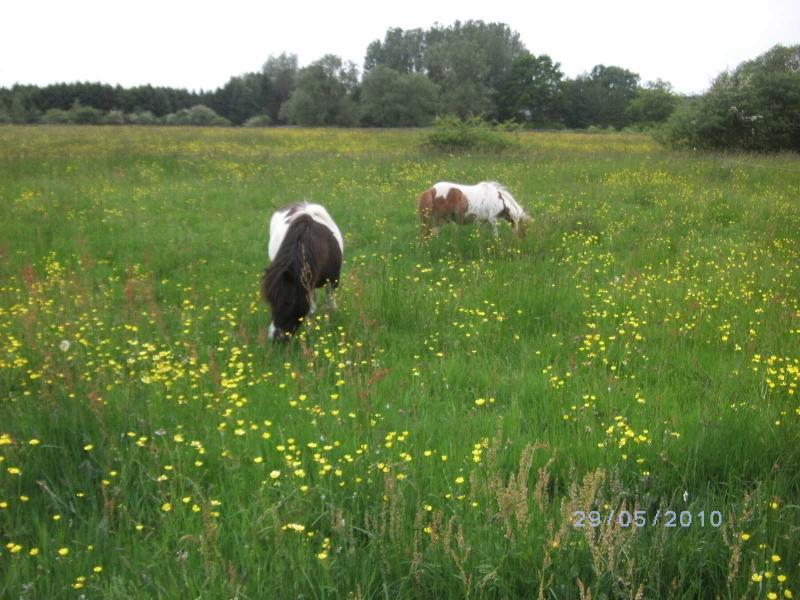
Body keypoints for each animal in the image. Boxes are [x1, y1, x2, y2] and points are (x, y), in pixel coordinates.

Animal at [260, 202, 340, 342]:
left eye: (289, 302)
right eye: (270, 302)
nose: (276, 338)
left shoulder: (333, 280)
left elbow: (328, 304)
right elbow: (310, 310)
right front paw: (310, 331)